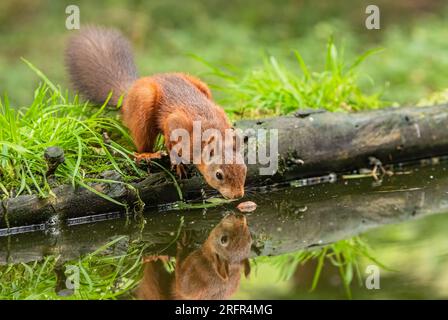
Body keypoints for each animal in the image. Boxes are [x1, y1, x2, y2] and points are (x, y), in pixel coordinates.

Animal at [66, 26, 247, 199]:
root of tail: (129, 93)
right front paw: (178, 164)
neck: (211, 128)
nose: (237, 195)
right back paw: (147, 154)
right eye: (219, 175)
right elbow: (171, 138)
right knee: (141, 142)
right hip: (143, 104)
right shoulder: (177, 123)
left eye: (244, 170)